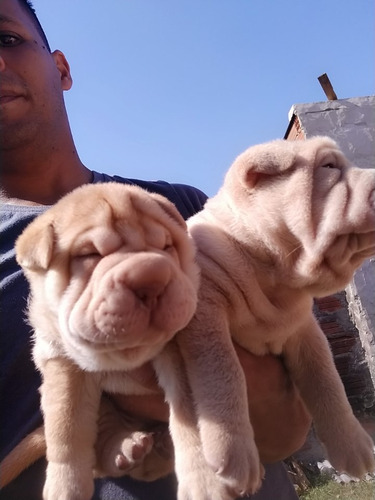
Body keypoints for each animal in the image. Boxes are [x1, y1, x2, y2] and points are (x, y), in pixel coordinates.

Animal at [1, 184, 201, 500]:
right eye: (89, 254)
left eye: (167, 246)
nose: (152, 278)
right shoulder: (62, 366)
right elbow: (67, 433)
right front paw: (65, 489)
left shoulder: (181, 352)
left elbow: (191, 416)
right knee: (103, 452)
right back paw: (127, 449)